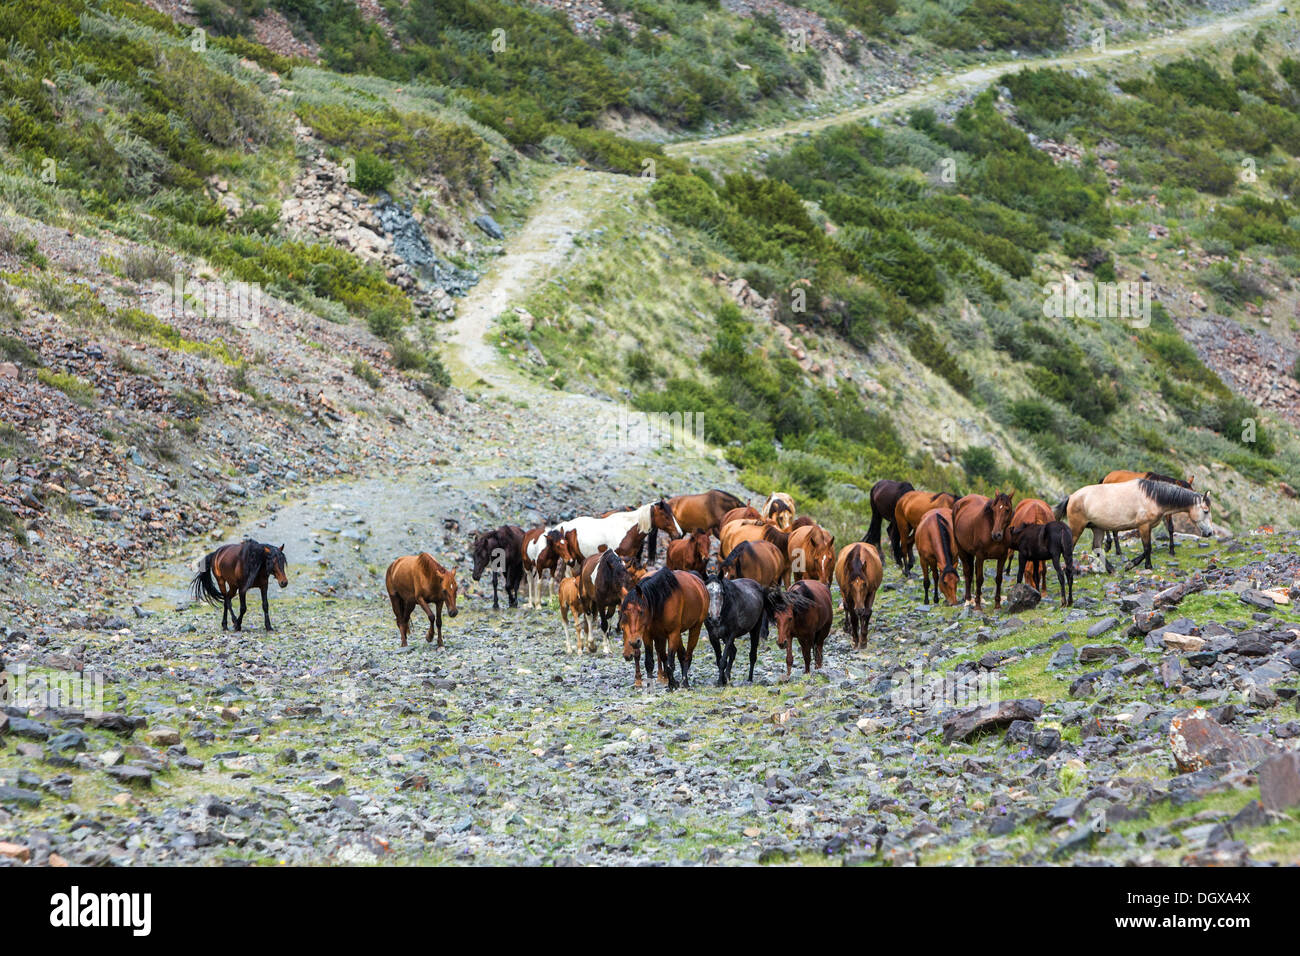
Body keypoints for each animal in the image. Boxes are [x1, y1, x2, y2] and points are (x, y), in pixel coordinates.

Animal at [1056, 479, 1213, 572]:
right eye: (1205, 511)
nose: (1210, 533)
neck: (1152, 497)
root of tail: (1072, 497)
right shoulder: (1143, 526)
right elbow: (1147, 548)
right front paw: (1146, 566)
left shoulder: (1147, 527)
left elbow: (1147, 549)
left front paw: (1131, 564)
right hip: (1077, 528)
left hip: (1097, 528)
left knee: (1096, 548)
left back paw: (1111, 569)